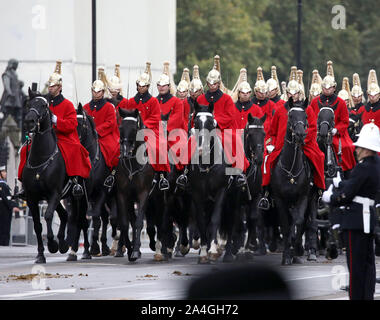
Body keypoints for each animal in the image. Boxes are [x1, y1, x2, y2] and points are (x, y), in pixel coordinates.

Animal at [22, 89, 81, 262]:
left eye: (43, 105)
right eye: (28, 104)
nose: (29, 121)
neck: (41, 157)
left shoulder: (54, 193)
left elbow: (48, 216)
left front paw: (53, 244)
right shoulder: (32, 197)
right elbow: (37, 224)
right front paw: (41, 254)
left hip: (75, 196)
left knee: (76, 219)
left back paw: (69, 247)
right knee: (64, 215)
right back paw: (63, 243)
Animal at [188, 101, 229, 264]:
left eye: (211, 123)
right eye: (196, 123)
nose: (202, 149)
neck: (207, 165)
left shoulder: (221, 191)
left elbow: (215, 219)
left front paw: (212, 249)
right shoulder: (197, 194)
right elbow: (201, 221)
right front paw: (204, 251)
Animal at [272, 98, 314, 264]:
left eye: (306, 117)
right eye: (290, 117)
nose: (300, 135)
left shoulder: (303, 198)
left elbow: (298, 221)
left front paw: (295, 248)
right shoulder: (279, 199)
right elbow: (285, 225)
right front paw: (286, 255)